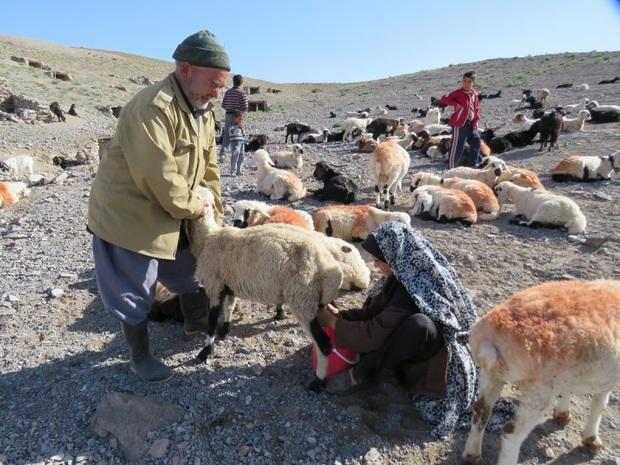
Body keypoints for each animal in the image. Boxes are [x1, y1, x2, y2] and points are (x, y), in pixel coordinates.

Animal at [190, 187, 342, 390]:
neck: (207, 239)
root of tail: (329, 266)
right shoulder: (230, 283)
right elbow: (229, 308)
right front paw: (225, 330)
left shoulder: (214, 285)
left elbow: (212, 321)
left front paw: (205, 352)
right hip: (316, 299)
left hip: (302, 299)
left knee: (324, 344)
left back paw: (318, 382)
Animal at [462, 280, 620, 464]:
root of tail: (490, 342)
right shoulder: (608, 378)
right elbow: (600, 404)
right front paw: (592, 440)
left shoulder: (567, 373)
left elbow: (569, 391)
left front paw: (562, 414)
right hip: (539, 392)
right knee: (512, 433)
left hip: (492, 375)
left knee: (481, 411)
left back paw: (472, 455)